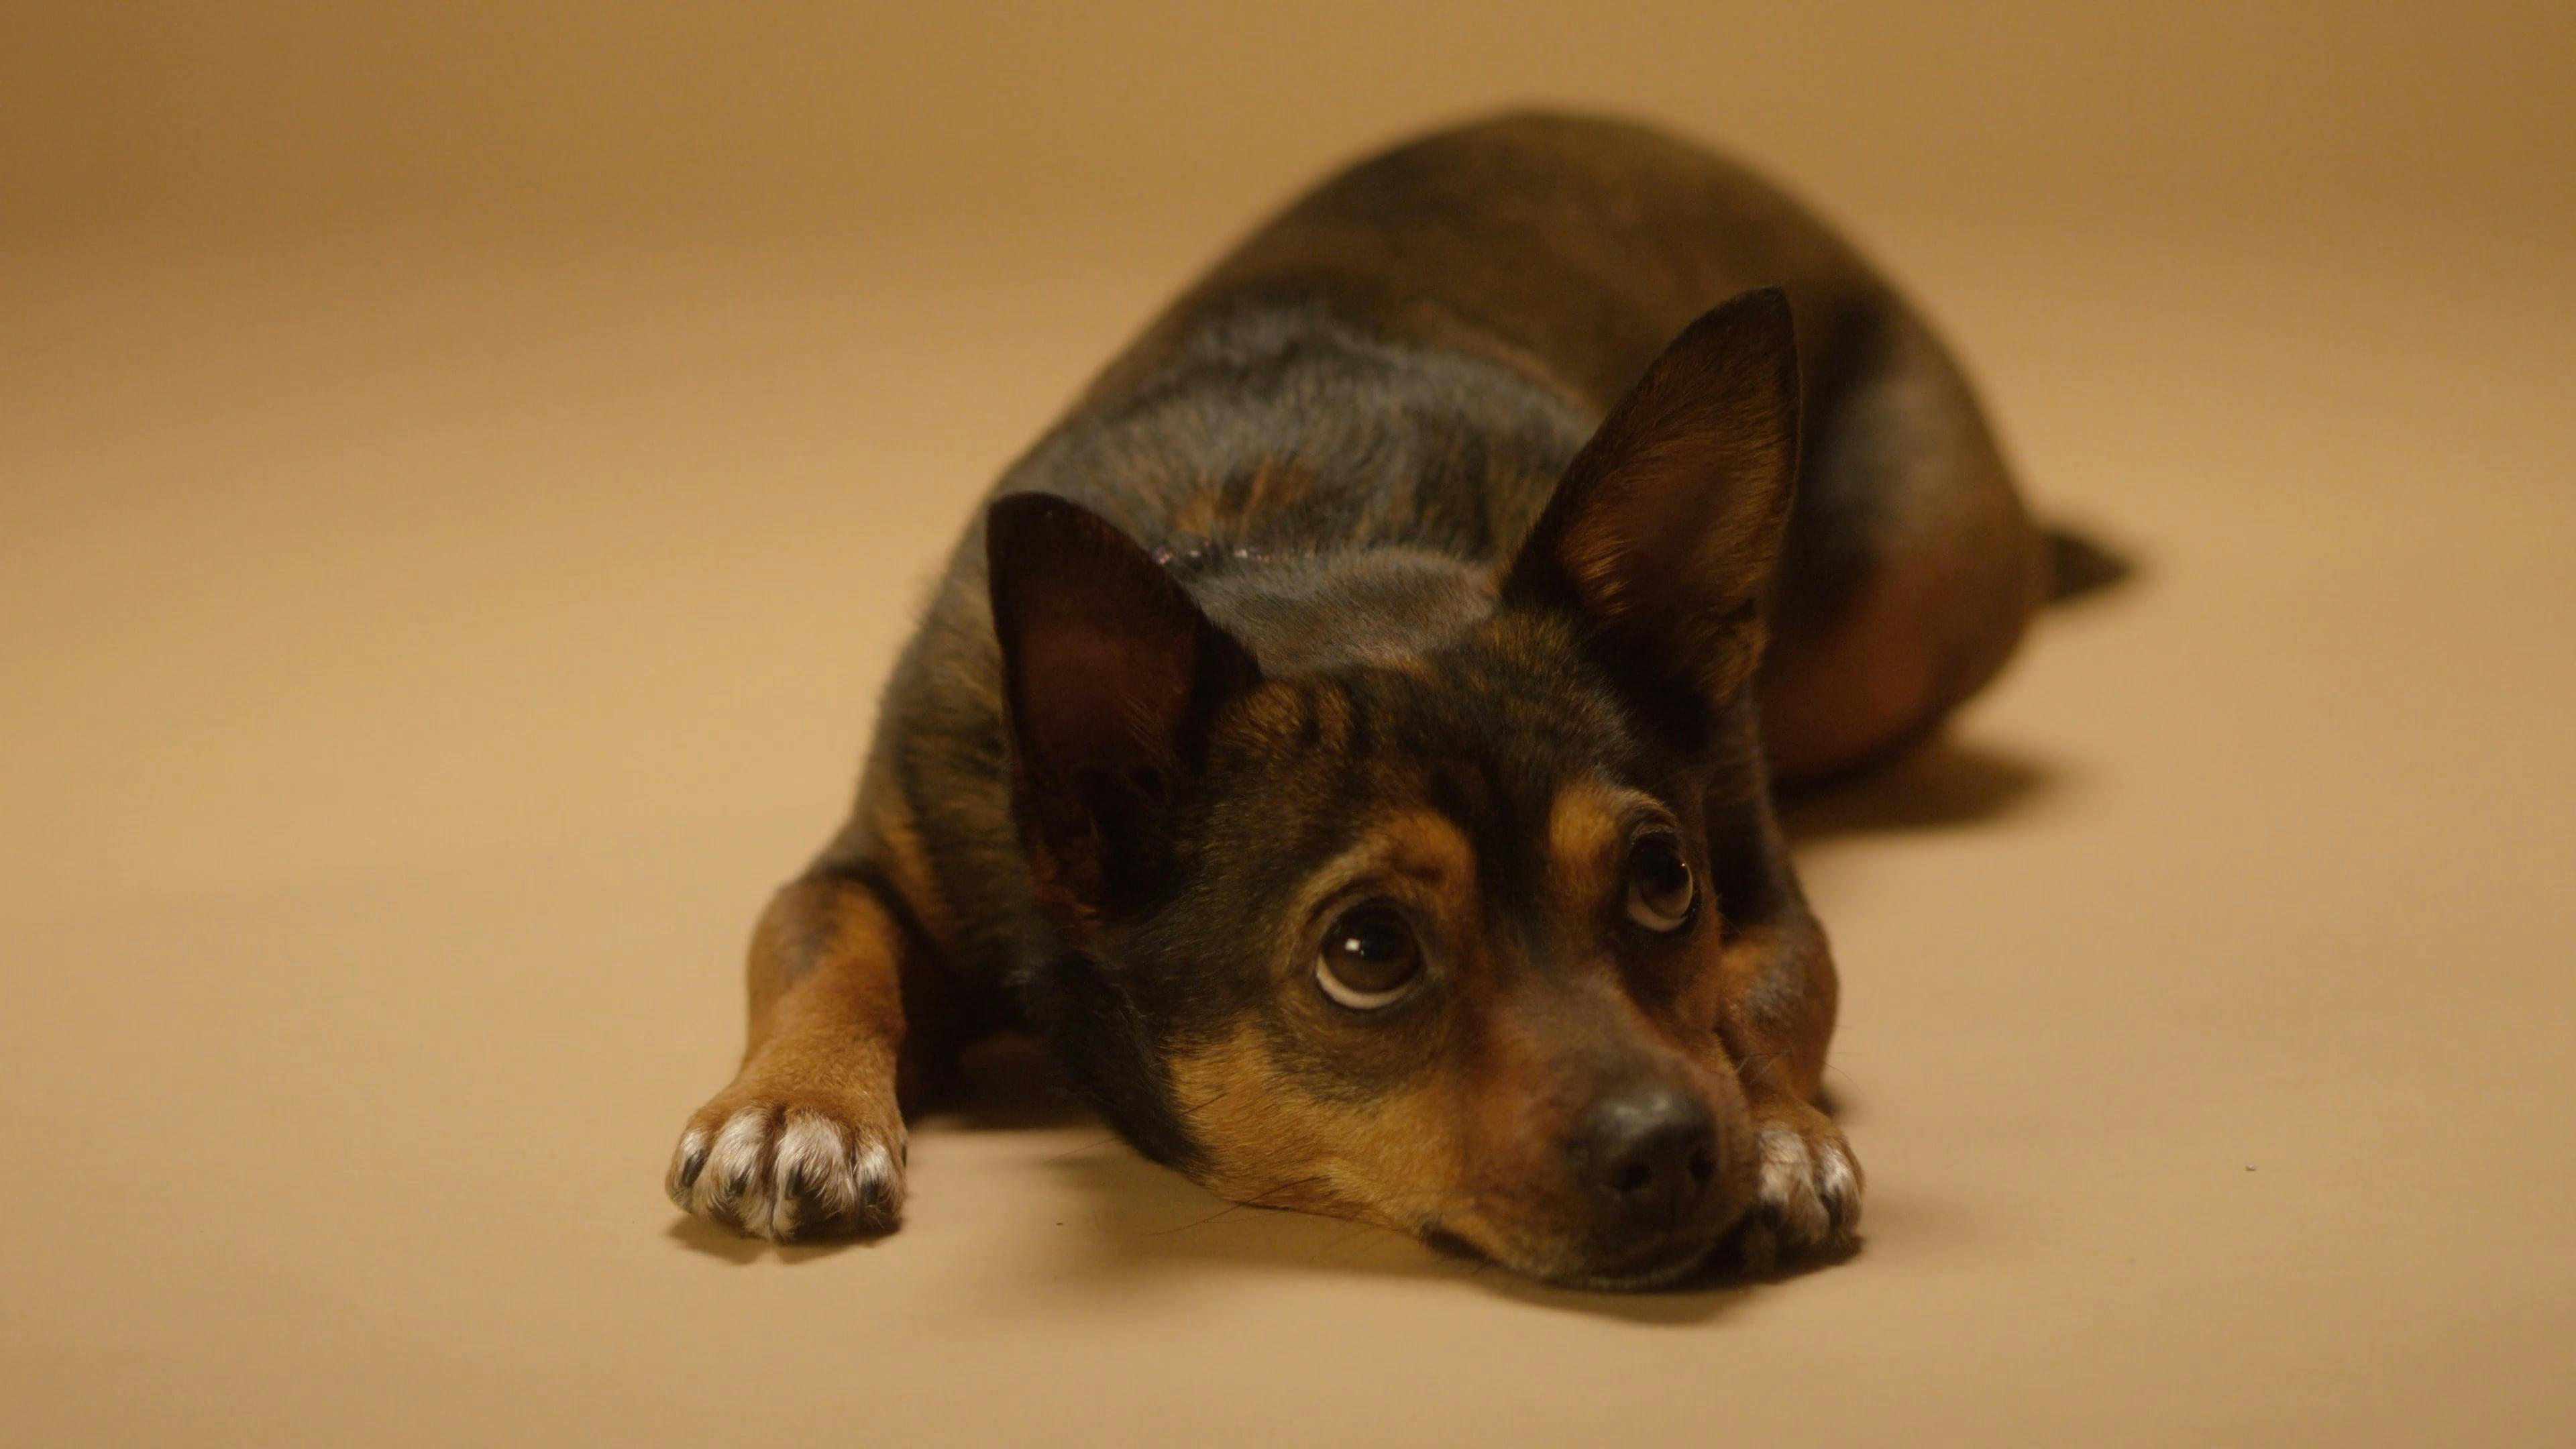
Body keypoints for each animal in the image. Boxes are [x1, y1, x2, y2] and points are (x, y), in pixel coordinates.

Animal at [669, 113, 2092, 1284]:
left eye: (1664, 882)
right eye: (1368, 956)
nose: (1677, 1149)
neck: (1304, 535)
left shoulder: (1767, 895)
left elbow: (1767, 996)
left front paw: (1784, 1137)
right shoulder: (880, 853)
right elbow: (817, 948)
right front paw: (794, 1107)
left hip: (1898, 613)